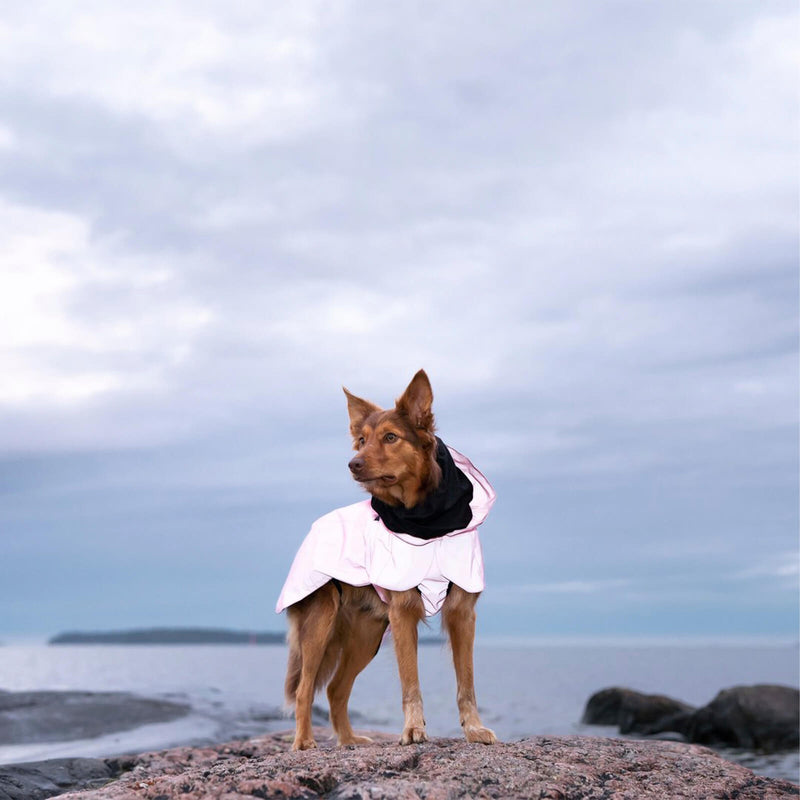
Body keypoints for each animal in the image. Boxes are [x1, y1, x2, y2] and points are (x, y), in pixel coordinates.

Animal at [278, 370, 496, 752]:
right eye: (362, 440)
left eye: (390, 437)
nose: (353, 464)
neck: (427, 521)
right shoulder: (403, 612)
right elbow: (411, 682)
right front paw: (413, 730)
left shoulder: (462, 612)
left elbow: (466, 682)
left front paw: (474, 729)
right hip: (321, 624)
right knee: (306, 688)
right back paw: (304, 742)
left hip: (366, 635)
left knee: (335, 689)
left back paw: (348, 740)